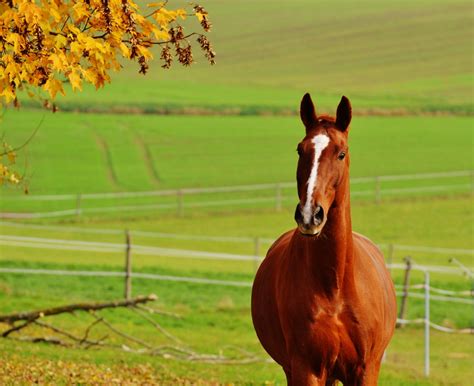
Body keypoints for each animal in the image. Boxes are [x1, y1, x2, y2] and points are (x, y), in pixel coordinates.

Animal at [252, 94, 396, 386]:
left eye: (341, 153)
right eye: (300, 150)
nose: (310, 214)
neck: (335, 287)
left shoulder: (365, 370)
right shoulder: (307, 369)